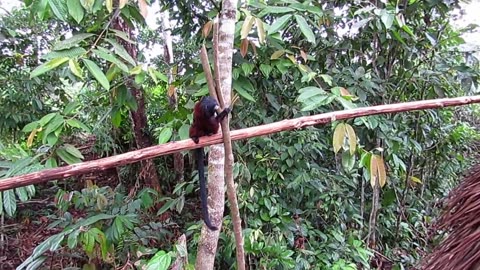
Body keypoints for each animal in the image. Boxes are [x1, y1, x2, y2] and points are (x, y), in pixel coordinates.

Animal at [189, 96, 231, 231]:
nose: (214, 107)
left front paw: (223, 112)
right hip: (198, 130)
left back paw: (209, 133)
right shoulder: (201, 109)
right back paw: (195, 136)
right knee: (195, 125)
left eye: (215, 103)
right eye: (211, 106)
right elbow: (199, 119)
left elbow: (213, 122)